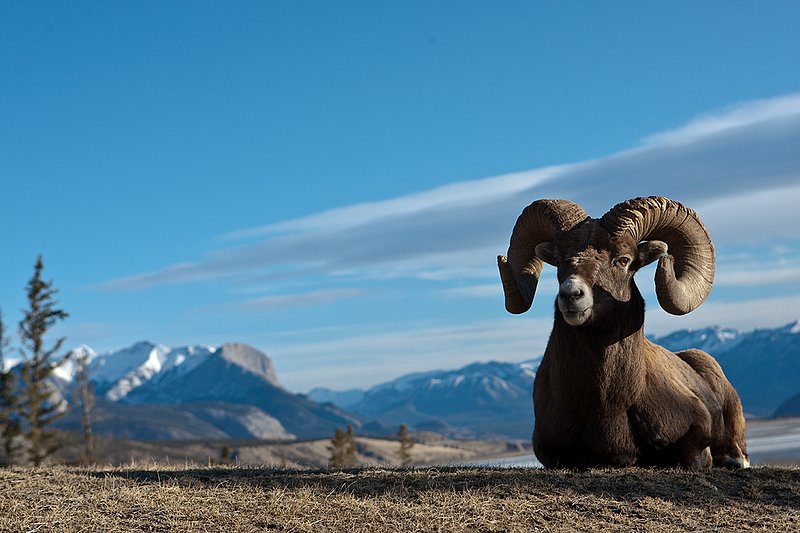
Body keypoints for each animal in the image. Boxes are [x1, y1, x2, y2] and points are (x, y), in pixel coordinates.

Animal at [498, 196, 749, 469]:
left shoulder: (696, 429)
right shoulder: (549, 452)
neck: (605, 406)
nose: (571, 294)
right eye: (559, 258)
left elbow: (691, 457)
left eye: (623, 260)